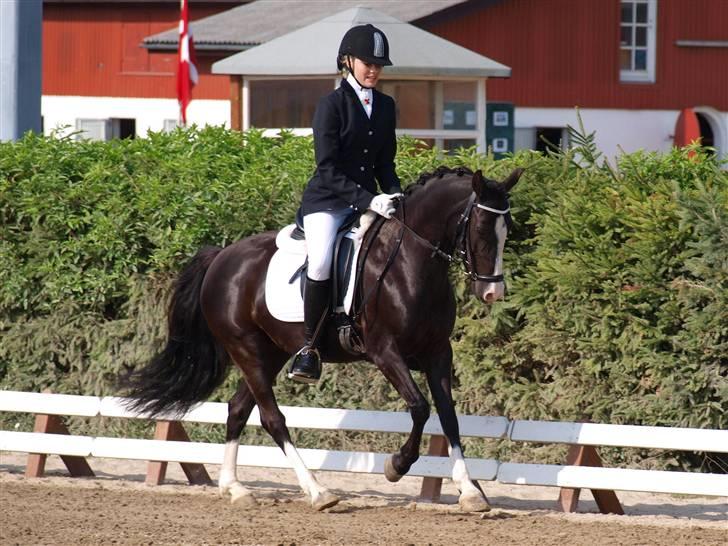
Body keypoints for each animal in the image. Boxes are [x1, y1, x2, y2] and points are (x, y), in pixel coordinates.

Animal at [120, 166, 523, 512]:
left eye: (508, 230)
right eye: (481, 229)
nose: (493, 293)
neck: (411, 264)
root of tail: (221, 257)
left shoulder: (438, 352)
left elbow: (449, 416)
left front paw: (470, 491)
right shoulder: (384, 352)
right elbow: (421, 408)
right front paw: (397, 465)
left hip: (271, 352)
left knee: (238, 409)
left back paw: (235, 489)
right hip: (245, 348)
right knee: (272, 418)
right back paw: (317, 492)